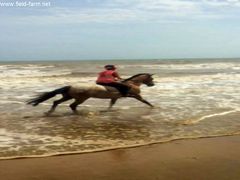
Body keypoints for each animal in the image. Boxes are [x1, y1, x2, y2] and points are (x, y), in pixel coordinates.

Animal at [27, 73, 155, 114]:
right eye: (151, 79)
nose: (152, 84)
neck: (132, 83)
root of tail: (70, 86)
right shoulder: (134, 95)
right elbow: (145, 101)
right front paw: (153, 107)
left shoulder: (115, 97)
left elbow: (111, 104)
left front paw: (108, 111)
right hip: (80, 98)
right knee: (72, 106)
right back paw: (77, 113)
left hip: (68, 96)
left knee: (56, 102)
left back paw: (50, 112)